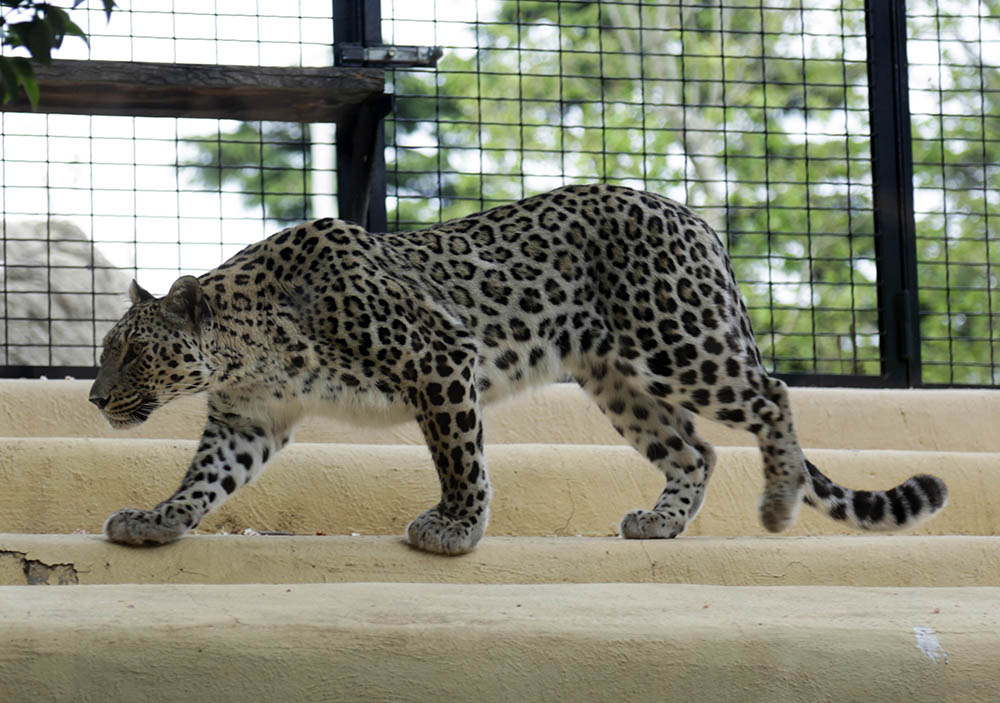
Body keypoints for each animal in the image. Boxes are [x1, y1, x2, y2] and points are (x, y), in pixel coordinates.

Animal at [89, 184, 948, 554]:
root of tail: (696, 217)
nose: (95, 397)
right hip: (618, 378)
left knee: (771, 395)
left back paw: (776, 502)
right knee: (694, 449)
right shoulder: (248, 417)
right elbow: (203, 478)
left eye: (129, 349)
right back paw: (661, 523)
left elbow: (457, 454)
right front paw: (156, 519)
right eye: (106, 350)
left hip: (679, 341)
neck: (244, 343)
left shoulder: (437, 356)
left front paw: (455, 528)